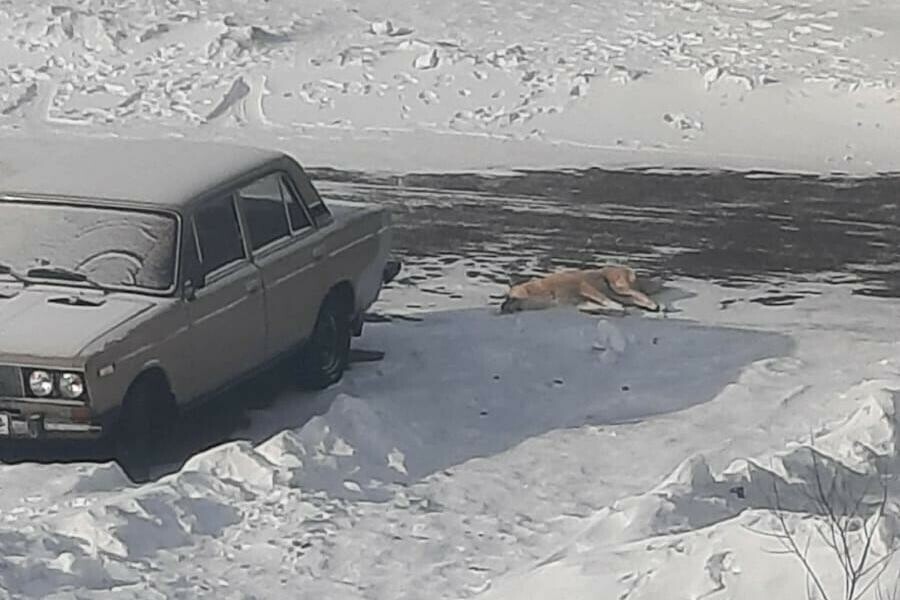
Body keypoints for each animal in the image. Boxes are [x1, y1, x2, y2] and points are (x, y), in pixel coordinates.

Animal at [500, 266, 660, 316]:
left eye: (510, 297)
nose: (501, 308)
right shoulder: (581, 301)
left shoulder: (583, 286)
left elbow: (603, 299)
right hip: (622, 293)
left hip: (618, 286)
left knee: (639, 295)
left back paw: (654, 305)